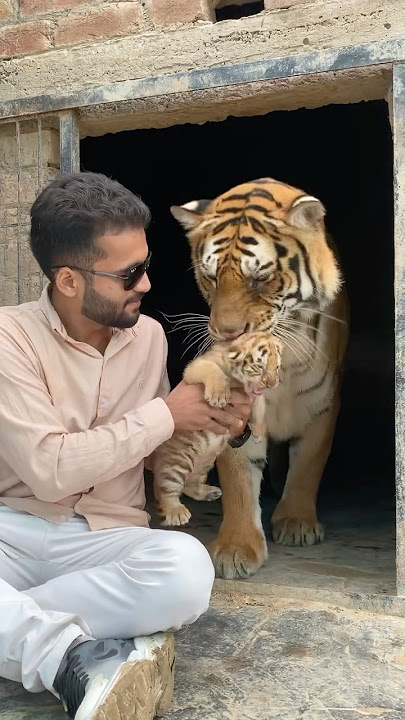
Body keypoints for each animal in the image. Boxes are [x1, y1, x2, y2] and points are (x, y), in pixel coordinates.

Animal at [152, 332, 282, 527]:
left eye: (277, 367)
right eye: (260, 365)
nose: (273, 383)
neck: (239, 382)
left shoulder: (255, 396)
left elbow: (260, 406)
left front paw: (259, 431)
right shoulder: (196, 367)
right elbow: (213, 370)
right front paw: (218, 395)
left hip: (206, 462)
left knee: (189, 485)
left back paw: (209, 492)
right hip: (177, 463)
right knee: (167, 490)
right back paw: (176, 512)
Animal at [169, 177, 349, 580]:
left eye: (260, 279)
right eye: (211, 277)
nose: (227, 333)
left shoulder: (323, 407)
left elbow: (308, 464)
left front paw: (297, 523)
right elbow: (239, 478)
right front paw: (236, 549)